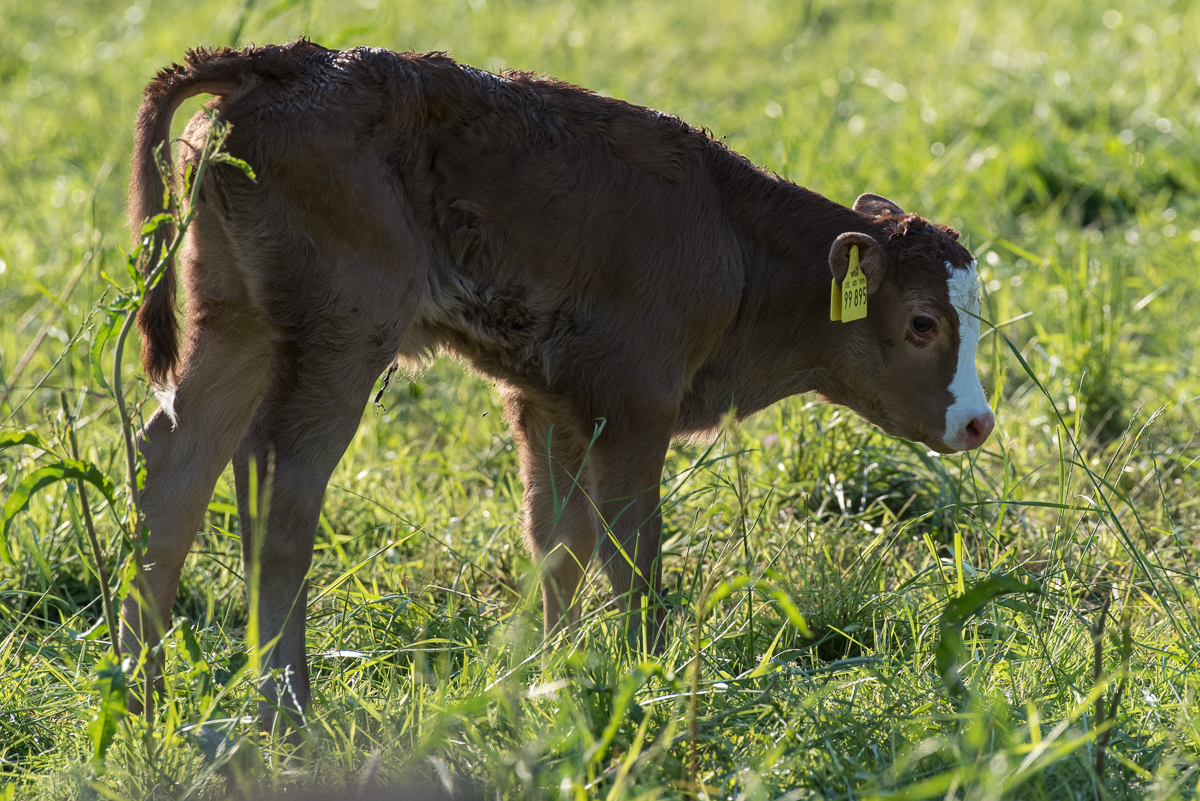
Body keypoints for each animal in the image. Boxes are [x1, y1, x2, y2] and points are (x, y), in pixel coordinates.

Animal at [119, 37, 993, 724]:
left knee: (176, 463)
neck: (729, 236)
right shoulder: (636, 407)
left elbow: (558, 542)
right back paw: (287, 710)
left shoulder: (551, 403)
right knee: (279, 480)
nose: (979, 423)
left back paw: (140, 691)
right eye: (923, 322)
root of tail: (285, 62)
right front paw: (651, 679)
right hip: (341, 335)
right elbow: (631, 551)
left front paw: (549, 677)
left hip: (235, 316)